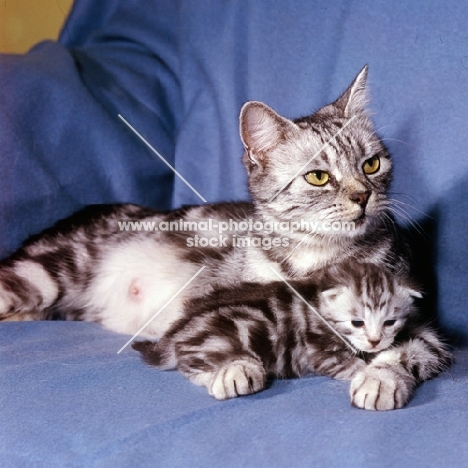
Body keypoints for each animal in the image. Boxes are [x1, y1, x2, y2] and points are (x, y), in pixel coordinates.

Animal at [133, 264, 450, 410]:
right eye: (356, 322)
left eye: (390, 322)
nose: (374, 341)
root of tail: (179, 327)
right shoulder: (318, 349)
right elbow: (347, 363)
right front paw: (365, 371)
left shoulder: (426, 336)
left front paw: (379, 374)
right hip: (220, 340)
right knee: (191, 363)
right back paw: (233, 372)